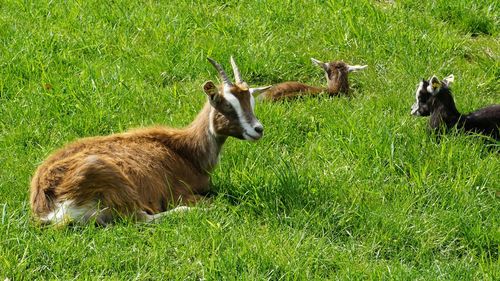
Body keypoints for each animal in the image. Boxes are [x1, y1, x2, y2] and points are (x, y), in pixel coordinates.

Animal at [29, 57, 272, 225]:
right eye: (227, 104)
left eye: (251, 101)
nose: (257, 129)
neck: (186, 150)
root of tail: (46, 202)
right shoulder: (180, 193)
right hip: (110, 180)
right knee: (142, 218)